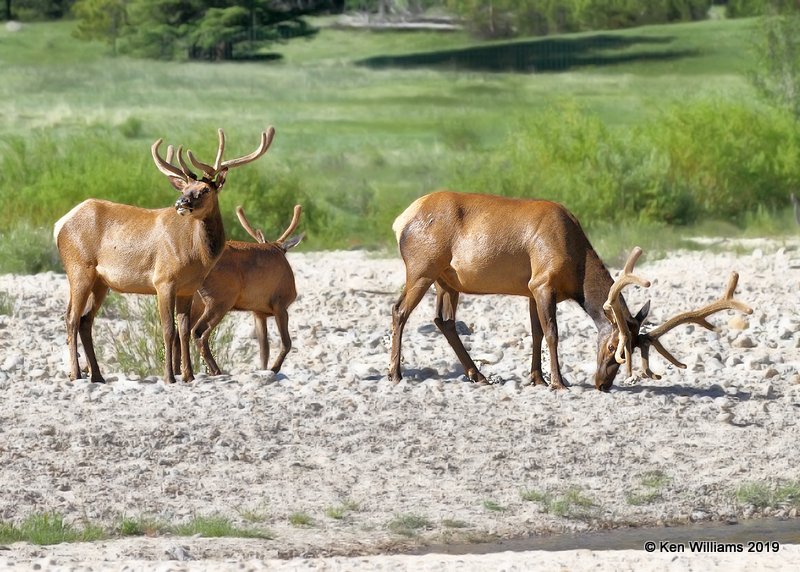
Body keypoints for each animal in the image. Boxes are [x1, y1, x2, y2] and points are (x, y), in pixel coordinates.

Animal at [54, 127, 276, 382]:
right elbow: (168, 330)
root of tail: (59, 224)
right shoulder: (163, 280)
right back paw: (76, 374)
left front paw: (188, 375)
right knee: (71, 317)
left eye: (205, 190)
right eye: (184, 189)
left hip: (101, 282)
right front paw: (169, 375)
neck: (197, 256)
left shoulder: (188, 288)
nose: (181, 202)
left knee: (85, 320)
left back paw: (97, 375)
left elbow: (184, 330)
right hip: (79, 269)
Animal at [179, 204, 304, 376]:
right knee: (198, 332)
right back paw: (216, 370)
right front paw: (274, 369)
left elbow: (264, 350)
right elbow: (286, 343)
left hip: (197, 301)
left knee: (181, 329)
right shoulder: (280, 304)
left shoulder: (258, 311)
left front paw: (264, 369)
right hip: (219, 299)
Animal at [388, 190, 752, 392]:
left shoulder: (530, 289)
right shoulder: (542, 282)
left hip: (447, 281)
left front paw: (536, 378)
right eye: (613, 348)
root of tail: (401, 219)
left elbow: (535, 332)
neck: (576, 265)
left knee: (443, 321)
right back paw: (395, 373)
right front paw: (559, 382)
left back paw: (478, 374)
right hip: (421, 268)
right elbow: (552, 333)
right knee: (399, 310)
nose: (602, 384)